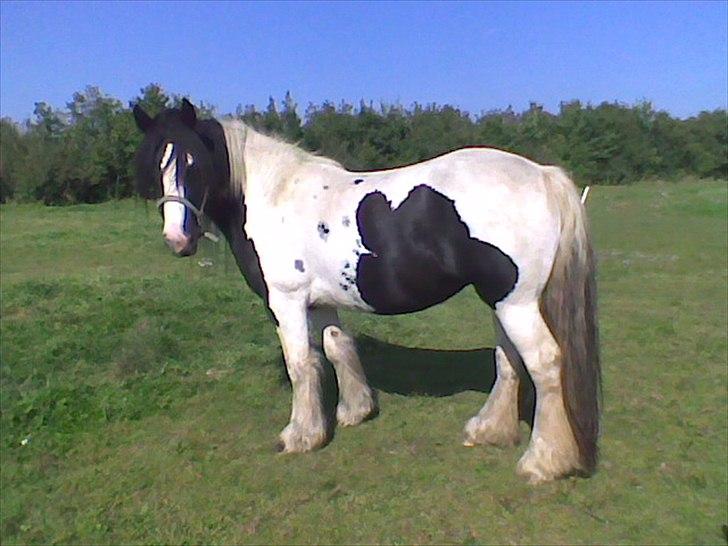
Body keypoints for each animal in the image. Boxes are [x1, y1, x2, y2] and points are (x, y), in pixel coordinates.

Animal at [134, 98, 600, 480]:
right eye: (157, 164)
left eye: (194, 162)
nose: (178, 240)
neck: (273, 195)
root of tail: (542, 175)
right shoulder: (321, 302)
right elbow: (337, 349)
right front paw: (354, 412)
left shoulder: (286, 302)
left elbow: (301, 364)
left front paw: (300, 436)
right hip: (503, 300)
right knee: (508, 359)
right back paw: (489, 430)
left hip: (515, 302)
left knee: (543, 362)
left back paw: (543, 461)